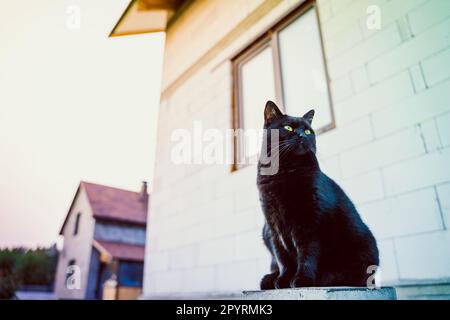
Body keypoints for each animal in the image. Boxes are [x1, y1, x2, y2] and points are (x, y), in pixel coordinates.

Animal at [256, 101, 380, 288]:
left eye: (308, 131)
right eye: (288, 127)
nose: (302, 135)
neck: (285, 170)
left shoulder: (309, 220)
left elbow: (307, 252)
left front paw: (302, 279)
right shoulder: (272, 224)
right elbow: (282, 257)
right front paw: (283, 279)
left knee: (355, 276)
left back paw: (326, 278)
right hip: (265, 231)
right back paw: (270, 279)